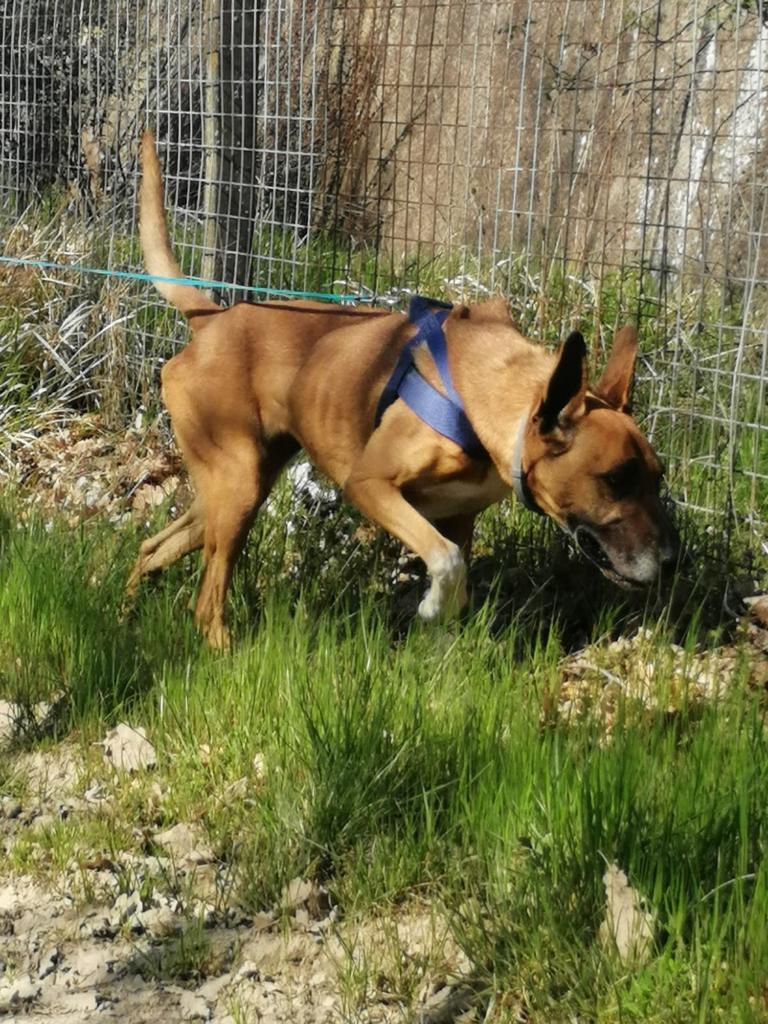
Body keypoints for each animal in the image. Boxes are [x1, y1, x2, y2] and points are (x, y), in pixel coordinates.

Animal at [128, 132, 679, 648]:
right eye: (616, 479)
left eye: (658, 477)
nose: (673, 561)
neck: (483, 407)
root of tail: (213, 318)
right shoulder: (370, 485)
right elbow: (447, 561)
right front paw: (432, 605)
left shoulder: (459, 518)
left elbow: (457, 574)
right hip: (238, 488)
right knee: (207, 600)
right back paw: (218, 646)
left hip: (233, 493)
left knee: (155, 547)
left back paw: (127, 606)